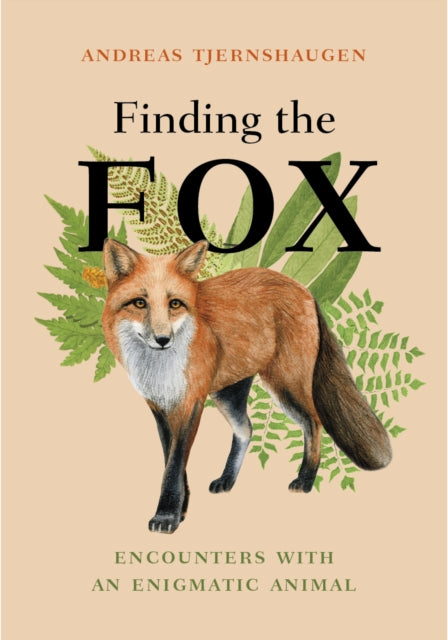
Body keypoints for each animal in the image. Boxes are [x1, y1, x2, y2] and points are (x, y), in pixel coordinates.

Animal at [102, 238, 392, 533]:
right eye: (140, 303)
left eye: (174, 304)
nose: (163, 339)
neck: (159, 367)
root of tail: (305, 291)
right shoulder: (161, 406)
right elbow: (172, 462)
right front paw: (181, 511)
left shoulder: (191, 401)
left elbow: (173, 465)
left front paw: (167, 516)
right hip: (227, 393)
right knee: (246, 429)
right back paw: (228, 479)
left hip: (285, 385)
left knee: (314, 422)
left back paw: (306, 480)